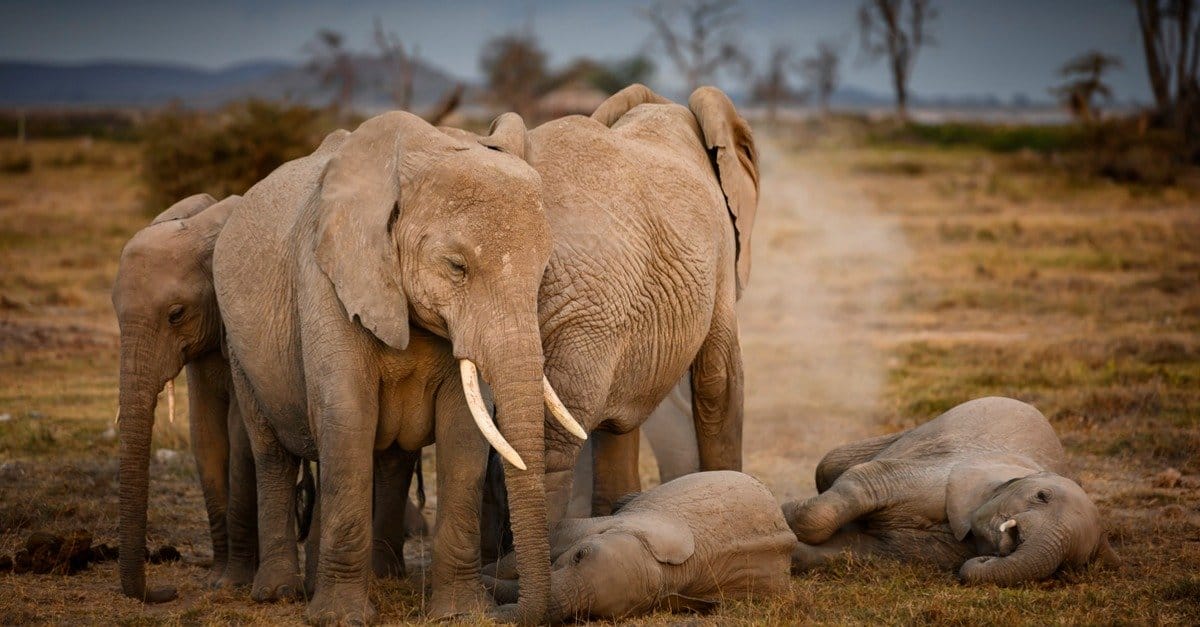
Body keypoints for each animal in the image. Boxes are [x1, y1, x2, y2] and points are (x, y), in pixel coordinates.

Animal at [212, 113, 585, 623]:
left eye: (543, 272)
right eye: (456, 267)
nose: (509, 608)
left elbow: (464, 432)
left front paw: (460, 614)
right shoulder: (327, 277)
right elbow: (347, 416)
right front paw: (340, 619)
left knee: (382, 457)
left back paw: (375, 577)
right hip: (239, 345)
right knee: (273, 453)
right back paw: (280, 593)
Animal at [783, 396, 1119, 585]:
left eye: (1068, 564)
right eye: (1042, 496)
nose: (989, 559)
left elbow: (866, 549)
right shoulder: (942, 477)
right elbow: (866, 482)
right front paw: (784, 514)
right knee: (830, 463)